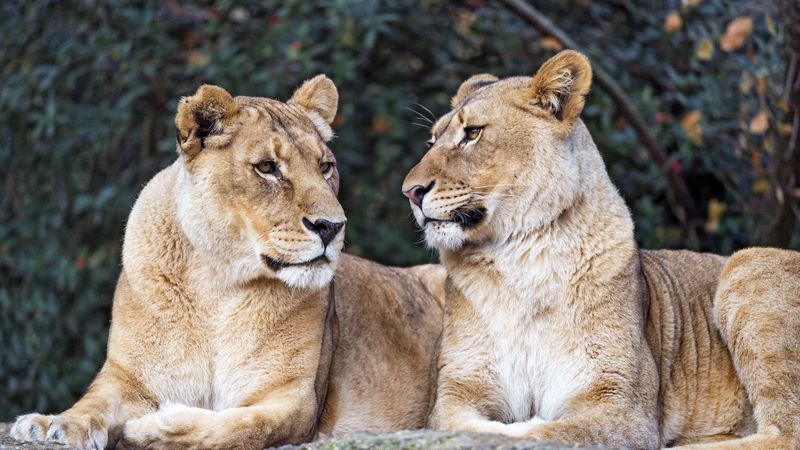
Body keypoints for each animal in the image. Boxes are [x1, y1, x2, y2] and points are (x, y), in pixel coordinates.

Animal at [11, 77, 444, 449]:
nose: (332, 227)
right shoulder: (128, 377)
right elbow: (92, 401)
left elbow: (239, 427)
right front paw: (51, 424)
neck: (216, 285)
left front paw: (157, 428)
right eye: (267, 168)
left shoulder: (294, 399)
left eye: (325, 167)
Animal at [402, 50, 800, 449]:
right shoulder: (457, 389)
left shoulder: (623, 404)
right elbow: (454, 426)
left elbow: (553, 431)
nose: (410, 191)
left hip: (749, 265)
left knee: (784, 432)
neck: (521, 257)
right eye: (431, 142)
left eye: (473, 133)